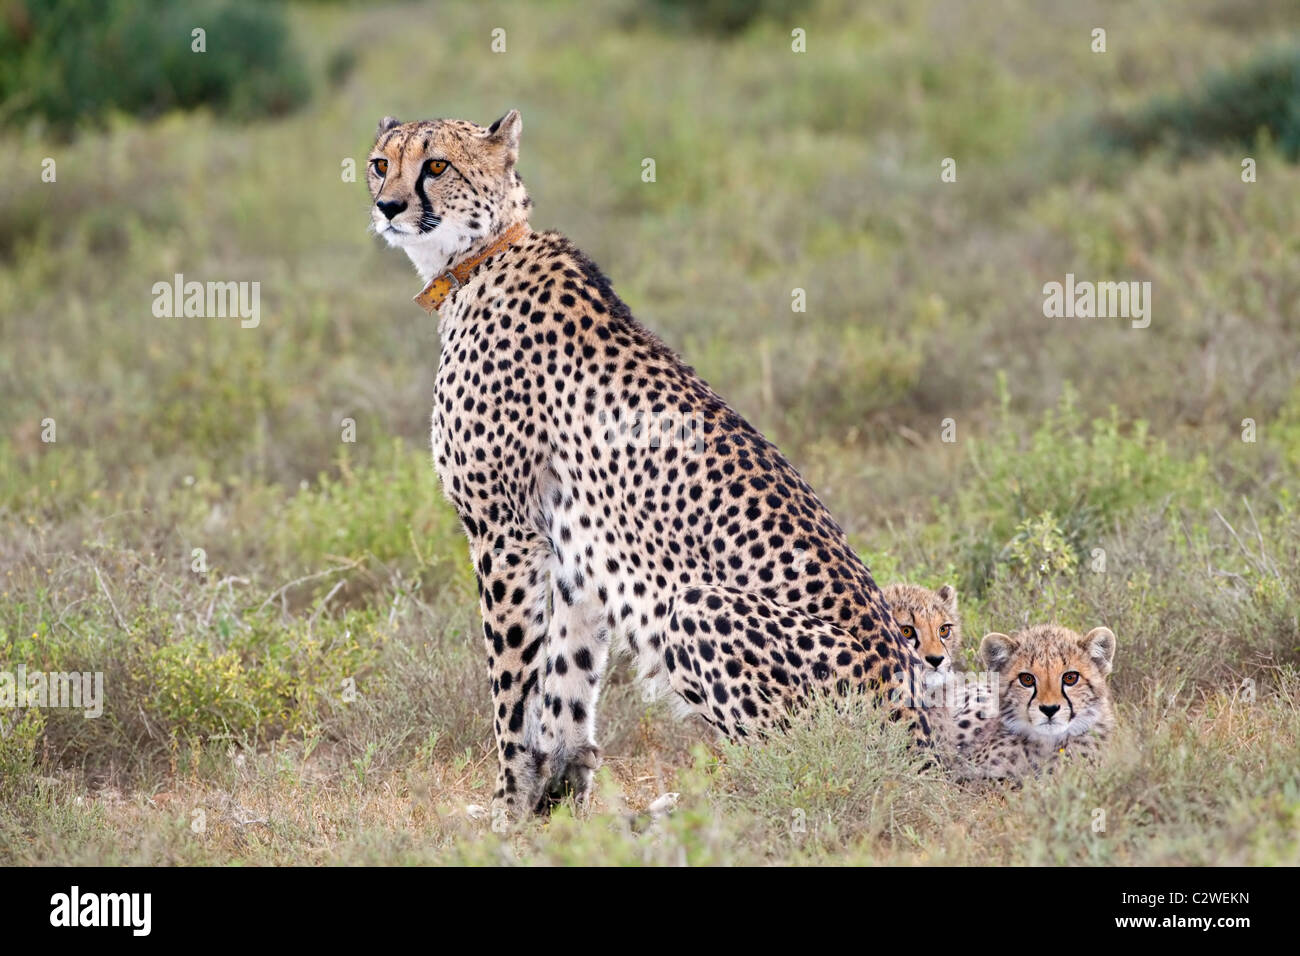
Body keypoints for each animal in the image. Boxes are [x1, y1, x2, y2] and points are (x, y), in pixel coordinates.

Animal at [371, 110, 930, 816]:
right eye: (379, 163)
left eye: (436, 165)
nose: (387, 206)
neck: (480, 255)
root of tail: (921, 728)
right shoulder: (577, 548)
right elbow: (565, 681)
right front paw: (561, 801)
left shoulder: (503, 533)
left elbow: (512, 689)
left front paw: (509, 806)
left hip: (691, 607)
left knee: (799, 769)